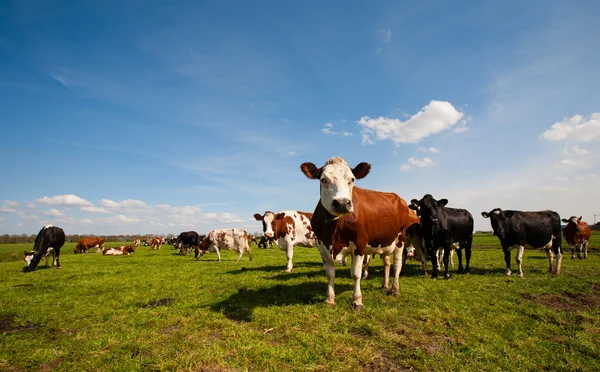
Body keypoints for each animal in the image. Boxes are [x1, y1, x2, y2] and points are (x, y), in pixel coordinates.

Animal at [300, 157, 422, 310]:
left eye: (352, 179)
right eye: (323, 179)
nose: (342, 203)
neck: (335, 227)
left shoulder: (360, 244)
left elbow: (356, 274)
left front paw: (357, 301)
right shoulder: (322, 245)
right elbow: (330, 273)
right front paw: (330, 299)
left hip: (401, 239)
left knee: (397, 264)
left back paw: (395, 290)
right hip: (385, 240)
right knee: (387, 262)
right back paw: (385, 285)